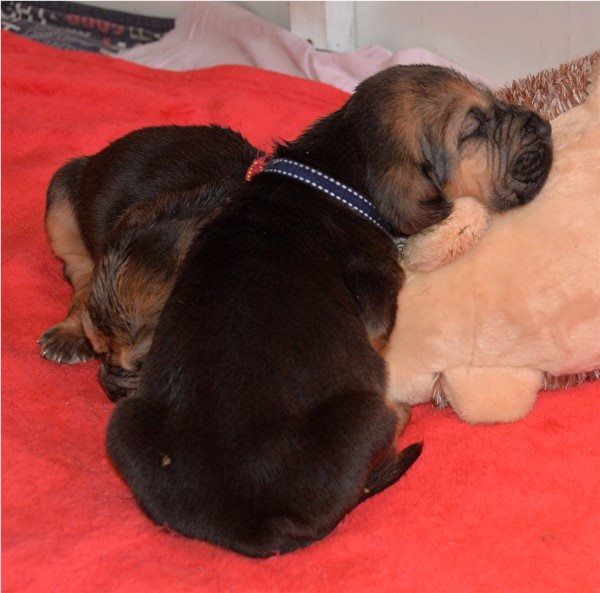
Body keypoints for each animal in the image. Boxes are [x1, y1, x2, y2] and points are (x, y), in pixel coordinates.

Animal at [106, 65, 552, 557]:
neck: (338, 169)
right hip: (365, 412)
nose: (542, 126)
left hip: (123, 426)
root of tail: (257, 524)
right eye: (473, 128)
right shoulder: (377, 309)